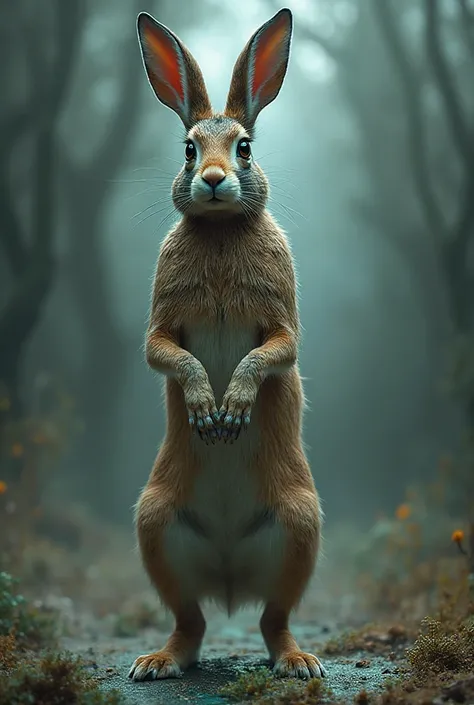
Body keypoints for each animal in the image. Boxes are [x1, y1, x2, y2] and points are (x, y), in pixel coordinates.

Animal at [129, 7, 326, 683]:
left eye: (245, 148)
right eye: (189, 149)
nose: (213, 180)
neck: (218, 230)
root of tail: (230, 579)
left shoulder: (283, 326)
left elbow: (272, 354)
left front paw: (231, 410)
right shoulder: (161, 328)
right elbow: (168, 355)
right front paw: (207, 412)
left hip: (298, 526)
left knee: (273, 619)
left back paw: (297, 662)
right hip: (156, 524)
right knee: (192, 620)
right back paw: (158, 662)